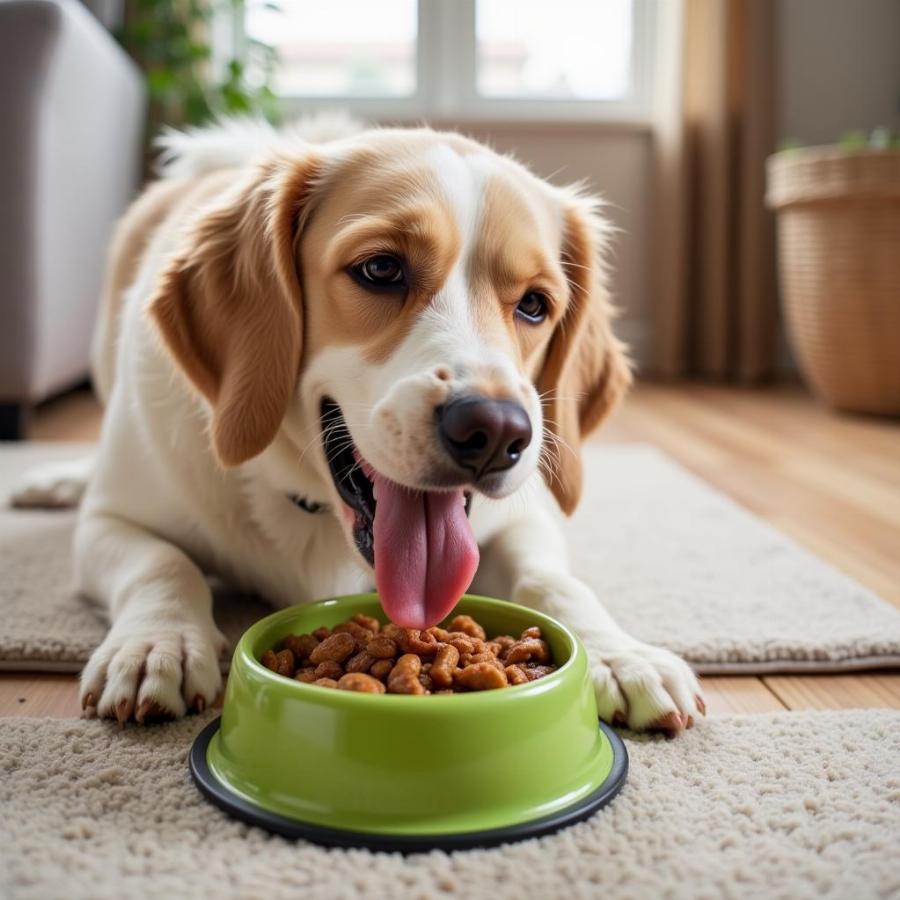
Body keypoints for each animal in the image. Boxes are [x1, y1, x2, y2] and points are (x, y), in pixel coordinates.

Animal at [12, 119, 704, 736]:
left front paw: (618, 652)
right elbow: (162, 564)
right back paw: (59, 483)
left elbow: (555, 581)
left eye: (535, 304)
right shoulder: (111, 523)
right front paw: (160, 644)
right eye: (381, 270)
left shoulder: (524, 520)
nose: (495, 433)